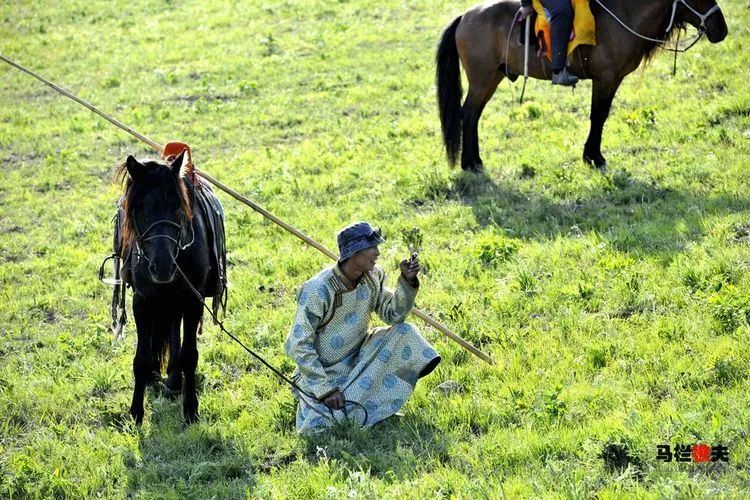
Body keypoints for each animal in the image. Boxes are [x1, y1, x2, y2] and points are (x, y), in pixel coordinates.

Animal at [113, 150, 228, 424]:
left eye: (176, 206)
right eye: (140, 209)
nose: (163, 267)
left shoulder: (194, 300)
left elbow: (190, 355)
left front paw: (191, 410)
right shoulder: (143, 301)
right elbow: (141, 358)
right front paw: (136, 413)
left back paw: (175, 380)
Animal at [438, 0, 732, 171]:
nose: (721, 30)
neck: (624, 15)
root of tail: (465, 16)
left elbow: (599, 116)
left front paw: (591, 155)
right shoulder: (606, 78)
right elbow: (598, 116)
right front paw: (593, 157)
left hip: (492, 77)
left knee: (473, 115)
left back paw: (475, 161)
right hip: (482, 78)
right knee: (469, 113)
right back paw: (469, 164)